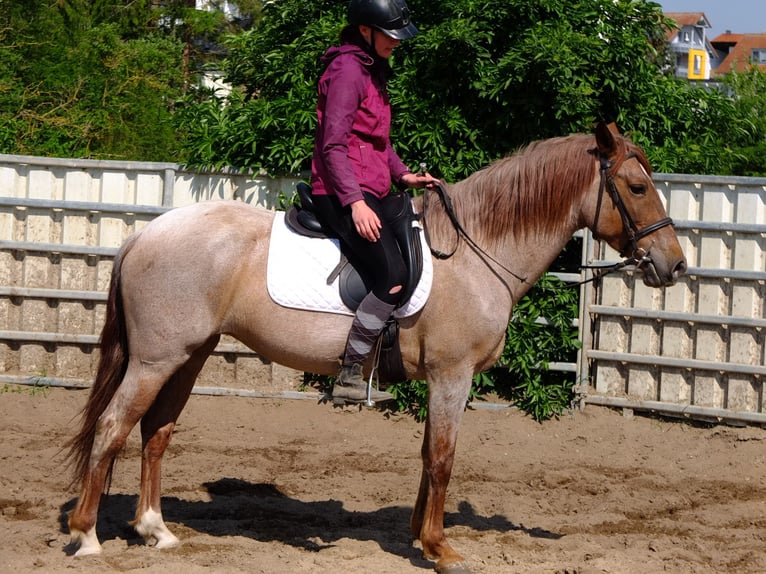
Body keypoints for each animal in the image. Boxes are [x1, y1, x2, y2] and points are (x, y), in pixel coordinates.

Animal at [66, 120, 688, 572]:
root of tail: (146, 234)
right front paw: (441, 548)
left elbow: (428, 454)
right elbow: (443, 457)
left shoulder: (441, 379)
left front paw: (419, 536)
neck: (477, 248)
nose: (674, 265)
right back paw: (87, 535)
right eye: (636, 187)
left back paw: (155, 529)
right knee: (114, 427)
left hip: (187, 356)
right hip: (156, 360)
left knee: (156, 433)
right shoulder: (452, 374)